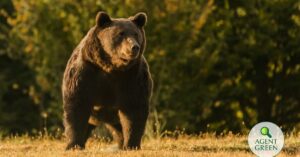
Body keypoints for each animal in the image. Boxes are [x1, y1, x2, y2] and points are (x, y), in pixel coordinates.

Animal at [62, 11, 154, 150]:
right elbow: (77, 105)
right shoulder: (86, 73)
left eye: (136, 34)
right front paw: (73, 144)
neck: (112, 67)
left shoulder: (133, 77)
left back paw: (121, 143)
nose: (134, 47)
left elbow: (134, 109)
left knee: (119, 129)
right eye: (120, 33)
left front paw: (131, 144)